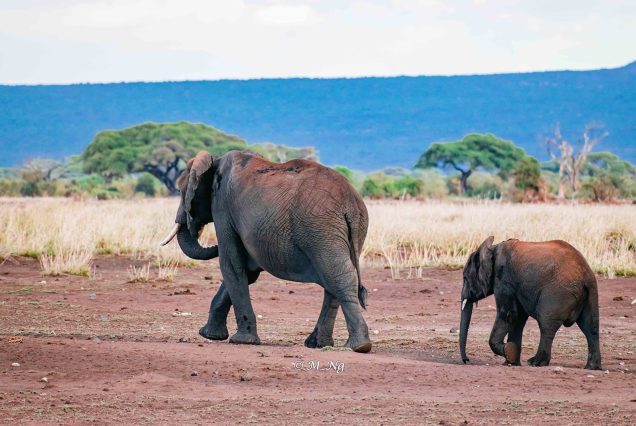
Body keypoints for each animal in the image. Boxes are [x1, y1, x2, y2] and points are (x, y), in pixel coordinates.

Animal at [160, 150, 372, 353]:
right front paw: (209, 335)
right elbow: (247, 271)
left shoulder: (222, 208)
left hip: (320, 229)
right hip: (343, 230)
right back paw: (320, 344)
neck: (215, 160)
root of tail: (351, 203)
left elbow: (232, 264)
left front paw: (241, 340)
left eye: (180, 191)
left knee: (338, 278)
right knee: (334, 280)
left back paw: (358, 346)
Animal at [459, 236, 601, 370]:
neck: (493, 248)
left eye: (465, 278)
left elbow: (508, 314)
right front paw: (511, 361)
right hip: (590, 294)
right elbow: (518, 319)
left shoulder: (503, 278)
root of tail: (586, 275)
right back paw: (592, 367)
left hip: (557, 293)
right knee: (591, 327)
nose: (467, 360)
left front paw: (509, 353)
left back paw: (536, 362)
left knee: (546, 325)